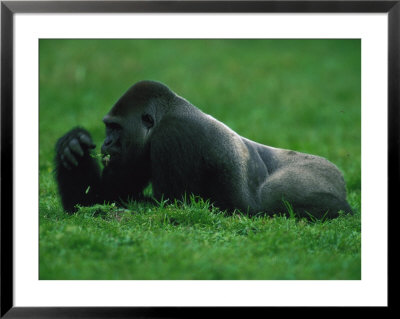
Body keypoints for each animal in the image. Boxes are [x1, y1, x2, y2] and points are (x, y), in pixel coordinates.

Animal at [54, 80, 354, 220]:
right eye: (107, 128)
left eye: (116, 128)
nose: (107, 144)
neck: (166, 113)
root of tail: (341, 179)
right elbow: (102, 197)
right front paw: (72, 146)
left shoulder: (173, 135)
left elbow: (170, 207)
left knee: (278, 201)